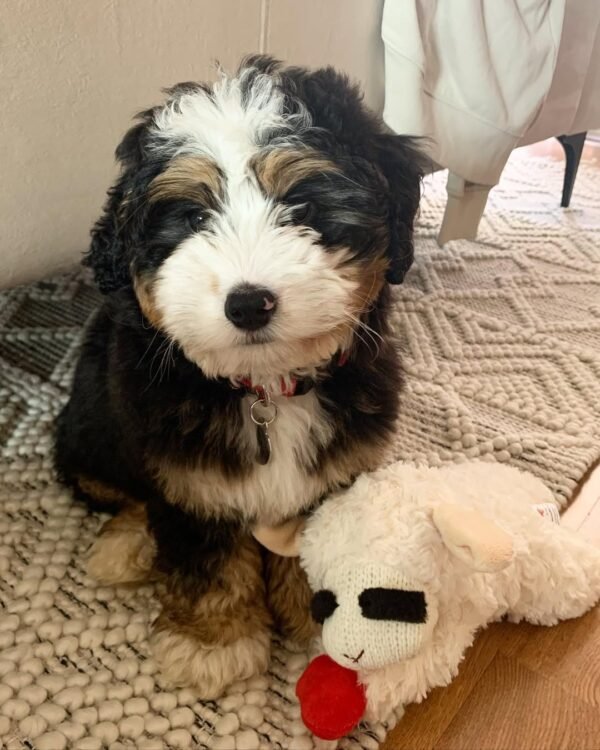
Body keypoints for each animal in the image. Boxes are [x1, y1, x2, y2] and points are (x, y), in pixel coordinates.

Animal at [54, 54, 424, 700]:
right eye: (195, 217)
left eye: (302, 209)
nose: (249, 304)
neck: (265, 389)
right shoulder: (190, 480)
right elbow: (209, 561)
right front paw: (212, 644)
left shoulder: (336, 474)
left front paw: (317, 621)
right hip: (90, 431)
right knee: (118, 492)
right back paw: (123, 548)